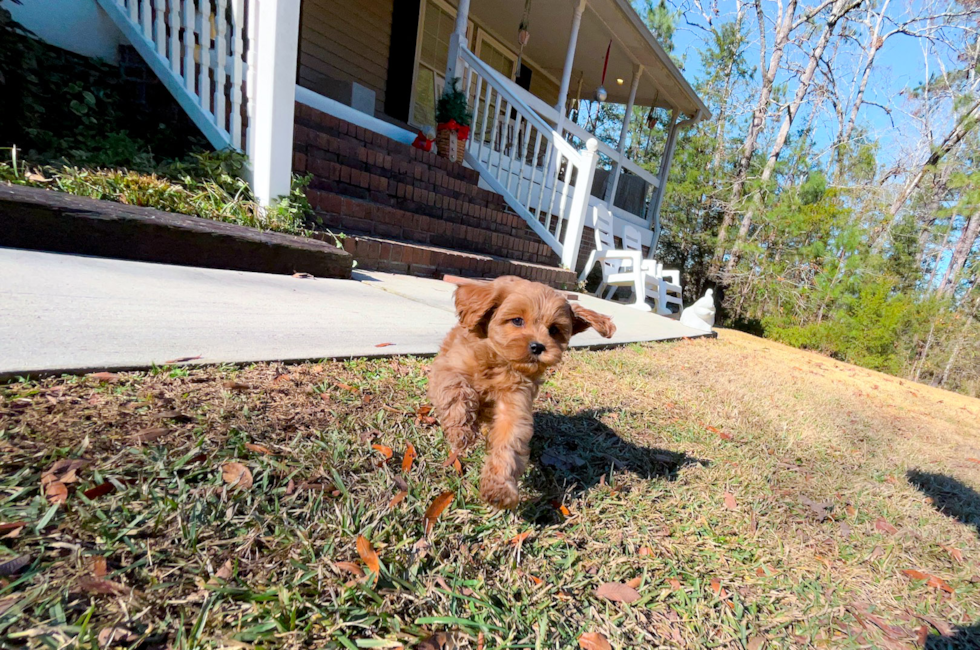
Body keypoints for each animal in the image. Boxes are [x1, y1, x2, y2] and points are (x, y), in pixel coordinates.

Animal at [426, 274, 612, 506]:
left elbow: (510, 440)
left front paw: (499, 488)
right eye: (517, 320)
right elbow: (456, 389)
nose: (538, 346)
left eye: (554, 330)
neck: (498, 360)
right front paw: (461, 431)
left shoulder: (515, 402)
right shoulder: (448, 367)